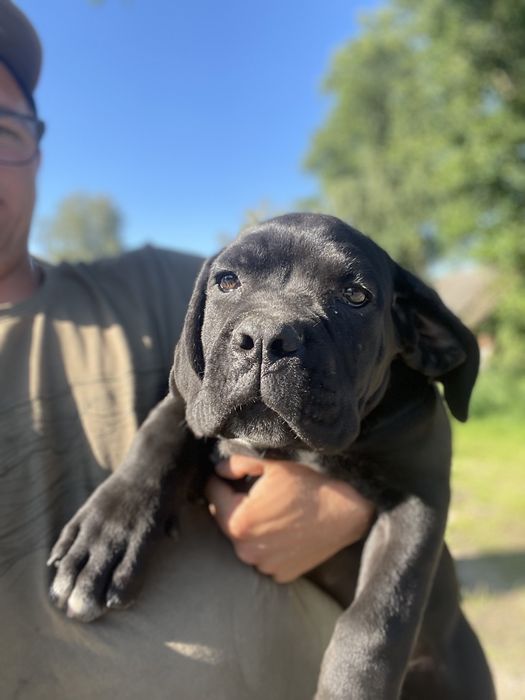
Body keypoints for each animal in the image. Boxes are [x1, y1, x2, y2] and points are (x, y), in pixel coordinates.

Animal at [49, 215, 496, 700]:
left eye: (356, 295)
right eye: (227, 281)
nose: (266, 337)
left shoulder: (419, 501)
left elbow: (378, 617)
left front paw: (350, 689)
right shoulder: (195, 399)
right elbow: (160, 432)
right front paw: (105, 538)